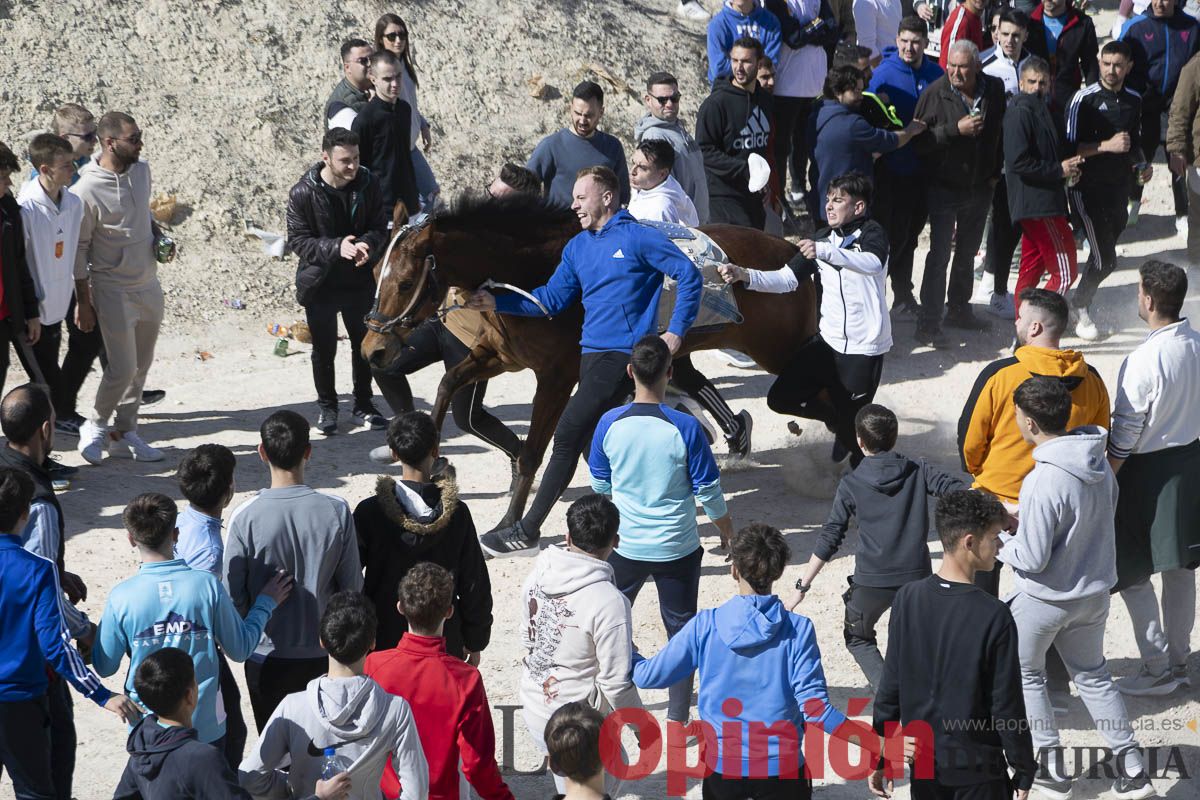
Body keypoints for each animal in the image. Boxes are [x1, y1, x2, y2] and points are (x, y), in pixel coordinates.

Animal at [360, 195, 820, 532]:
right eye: (375, 273)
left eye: (405, 282)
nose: (372, 350)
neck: (531, 273)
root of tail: (791, 253)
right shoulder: (497, 356)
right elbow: (447, 385)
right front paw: (429, 458)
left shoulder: (557, 376)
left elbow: (533, 453)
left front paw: (511, 523)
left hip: (779, 347)